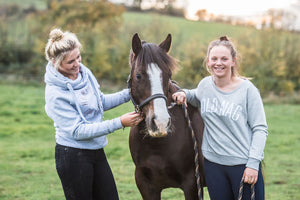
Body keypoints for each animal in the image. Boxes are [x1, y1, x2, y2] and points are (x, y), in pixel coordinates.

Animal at [127, 33, 205, 199]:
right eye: (138, 75)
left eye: (168, 75)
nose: (160, 123)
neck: (157, 146)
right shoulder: (146, 185)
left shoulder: (192, 185)